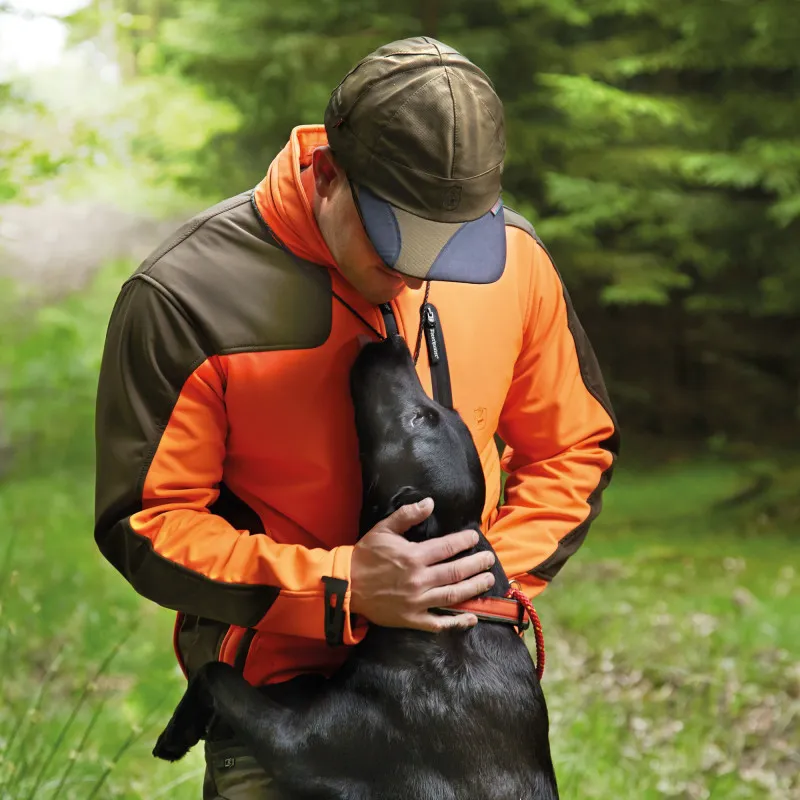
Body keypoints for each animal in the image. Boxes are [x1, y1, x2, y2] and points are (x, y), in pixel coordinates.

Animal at [153, 334, 560, 796]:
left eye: (418, 418)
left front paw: (175, 733)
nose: (394, 342)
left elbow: (216, 671)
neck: (447, 617)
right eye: (437, 413)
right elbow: (282, 679)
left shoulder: (299, 746)